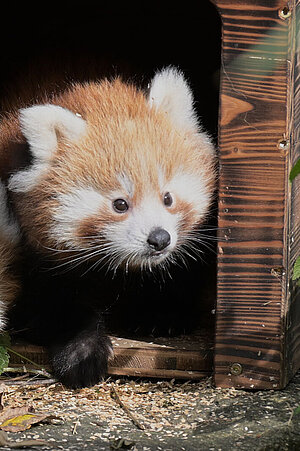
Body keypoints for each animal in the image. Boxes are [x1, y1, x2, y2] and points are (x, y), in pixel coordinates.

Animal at [0, 67, 216, 388]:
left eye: (168, 198)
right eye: (120, 204)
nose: (159, 239)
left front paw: (162, 313)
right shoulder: (35, 262)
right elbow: (51, 309)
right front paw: (82, 354)